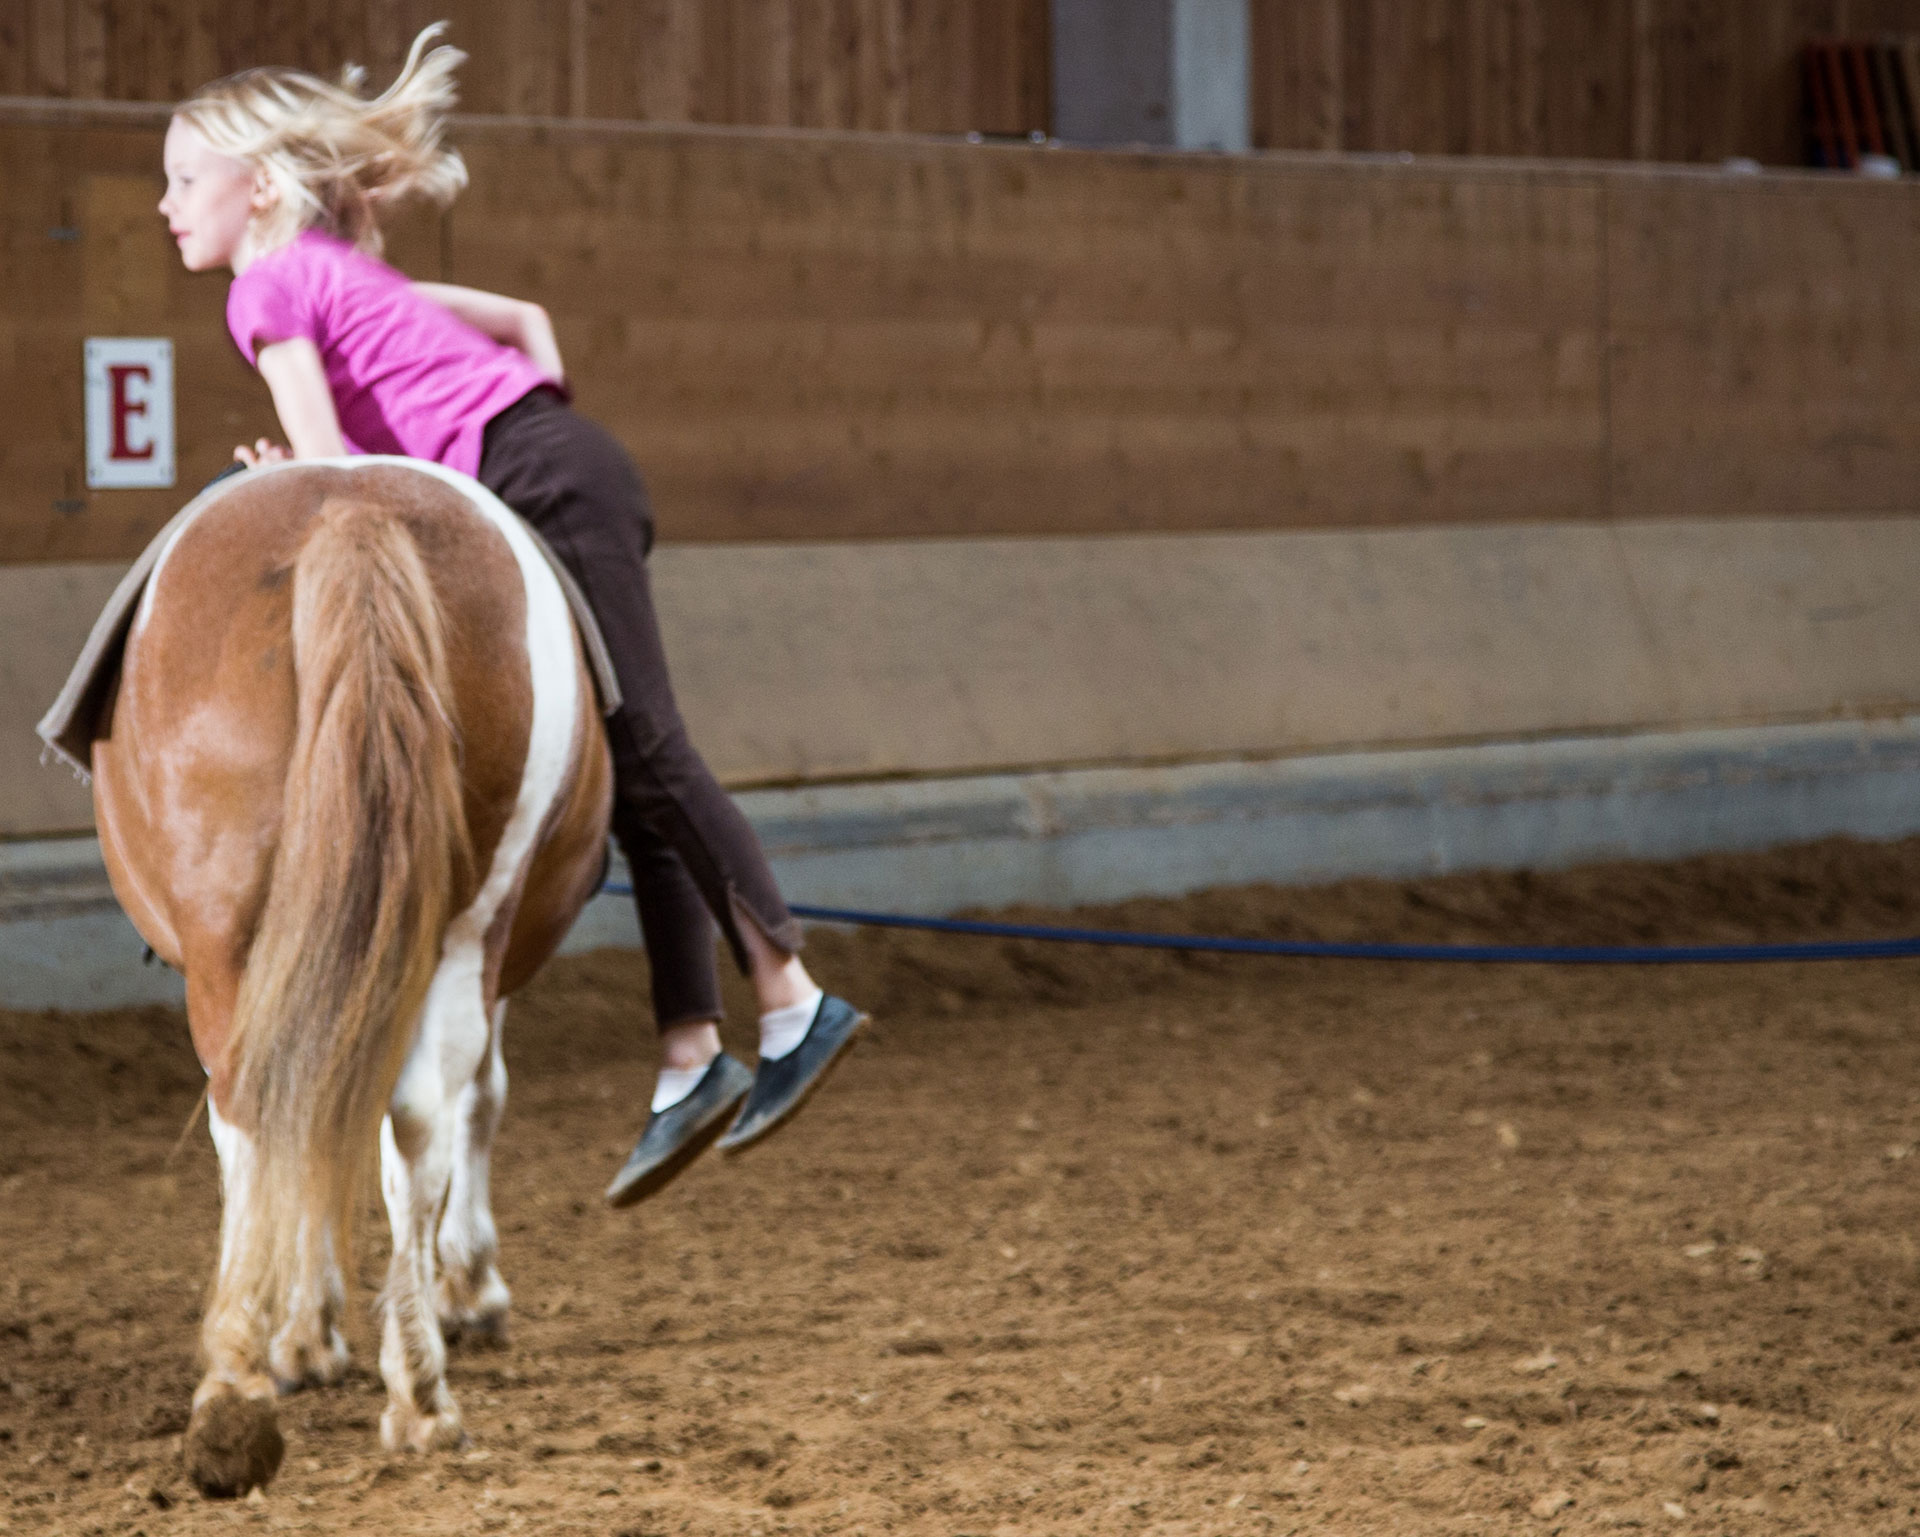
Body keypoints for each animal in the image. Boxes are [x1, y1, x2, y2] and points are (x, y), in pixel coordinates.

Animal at [91, 456, 606, 1489]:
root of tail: (352, 510)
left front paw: (312, 1332)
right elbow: (471, 1099)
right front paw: (461, 1287)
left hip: (235, 942)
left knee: (267, 1111)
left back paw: (247, 1389)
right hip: (456, 928)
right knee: (403, 1117)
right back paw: (410, 1388)